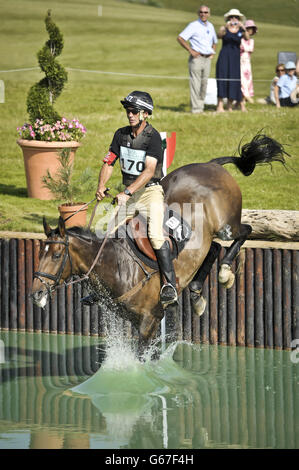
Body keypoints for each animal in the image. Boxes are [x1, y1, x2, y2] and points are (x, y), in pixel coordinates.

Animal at [31, 132, 290, 346]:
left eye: (56, 255)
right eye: (40, 253)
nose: (35, 294)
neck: (116, 264)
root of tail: (210, 165)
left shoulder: (149, 321)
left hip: (227, 224)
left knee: (244, 231)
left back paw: (225, 273)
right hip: (204, 238)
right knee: (214, 248)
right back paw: (196, 294)